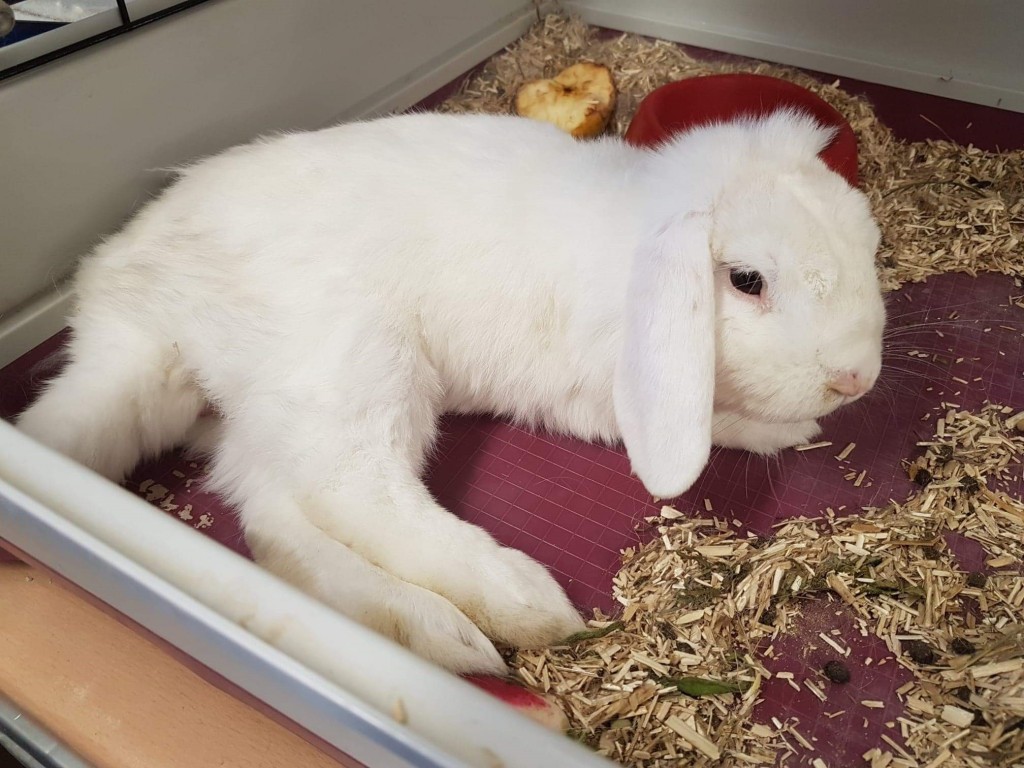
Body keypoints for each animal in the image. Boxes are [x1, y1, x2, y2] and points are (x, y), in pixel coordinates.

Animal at [17, 108, 884, 674]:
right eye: (747, 280)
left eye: (868, 242)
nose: (858, 376)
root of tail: (144, 310)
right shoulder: (611, 399)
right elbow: (710, 423)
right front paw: (786, 430)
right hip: (356, 362)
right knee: (354, 493)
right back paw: (518, 608)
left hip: (267, 411)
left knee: (271, 519)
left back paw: (425, 630)